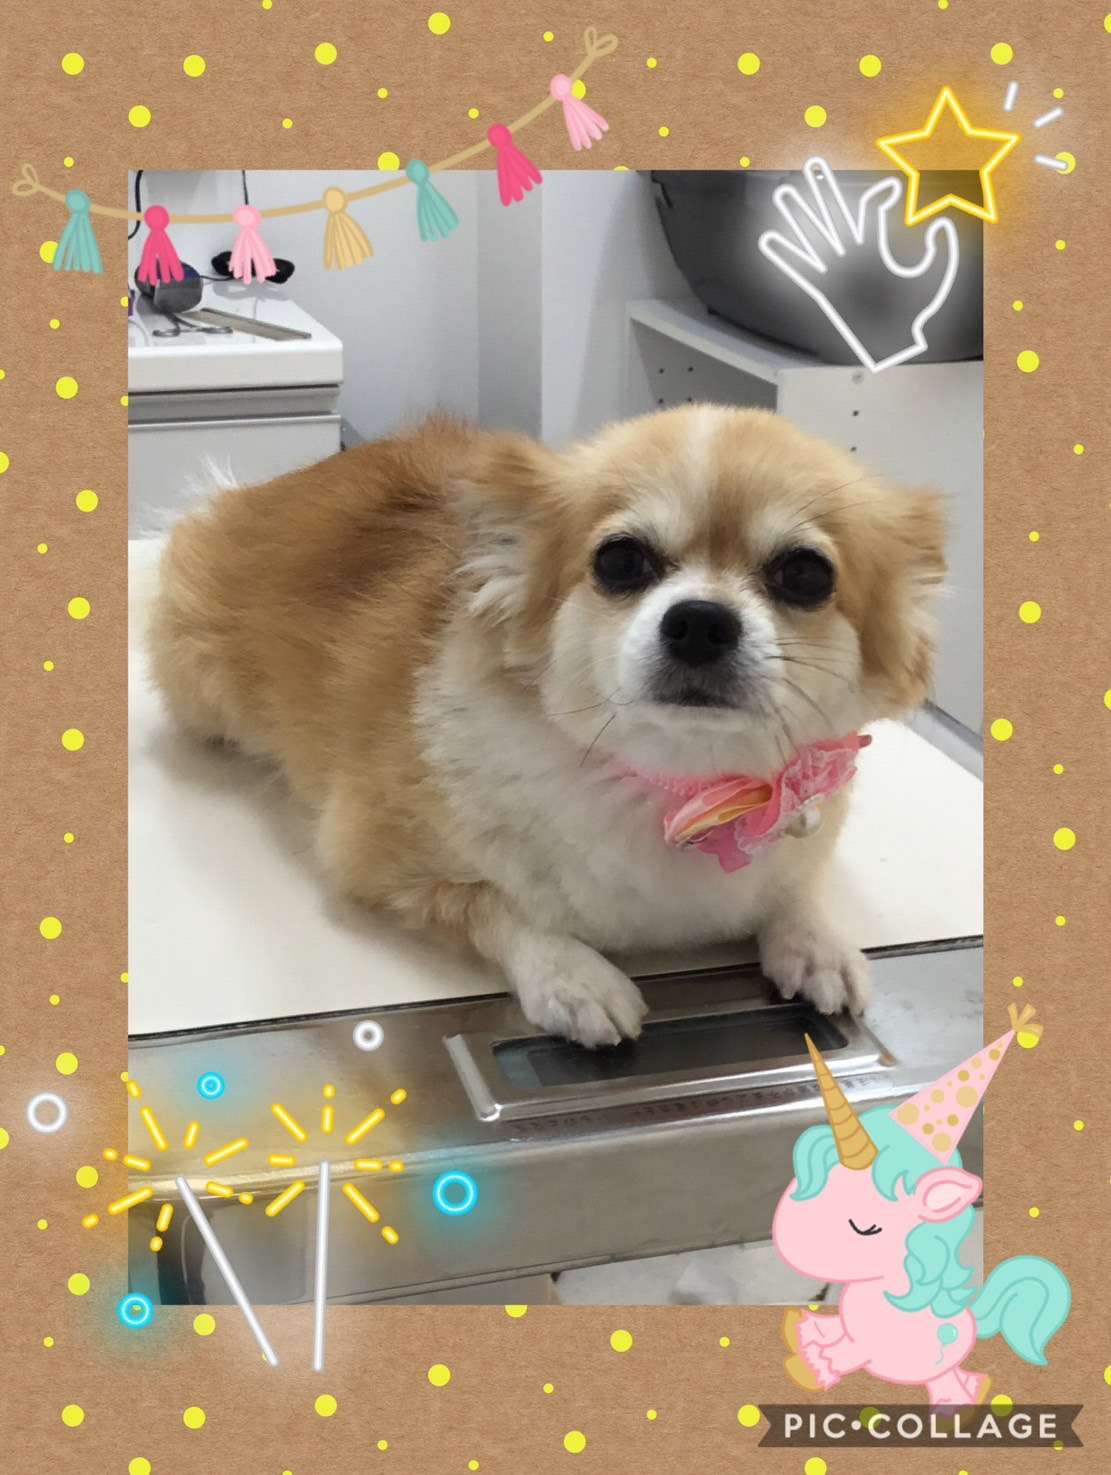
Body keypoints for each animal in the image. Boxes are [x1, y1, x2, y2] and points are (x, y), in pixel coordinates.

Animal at [148, 406, 944, 1047]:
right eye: (620, 560)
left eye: (805, 575)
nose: (699, 620)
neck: (685, 788)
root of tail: (255, 493)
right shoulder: (373, 858)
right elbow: (494, 903)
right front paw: (571, 974)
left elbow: (794, 881)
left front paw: (815, 943)